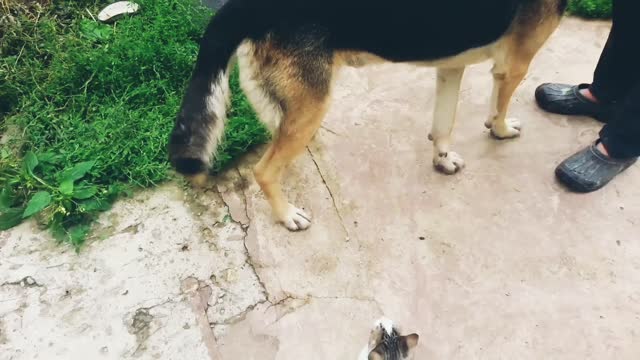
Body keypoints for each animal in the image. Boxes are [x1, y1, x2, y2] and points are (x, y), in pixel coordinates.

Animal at [168, 0, 568, 231]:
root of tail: (243, 5)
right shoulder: (514, 65)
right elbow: (500, 105)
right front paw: (501, 129)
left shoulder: (450, 67)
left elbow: (444, 123)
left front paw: (442, 158)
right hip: (312, 106)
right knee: (264, 171)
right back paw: (287, 215)